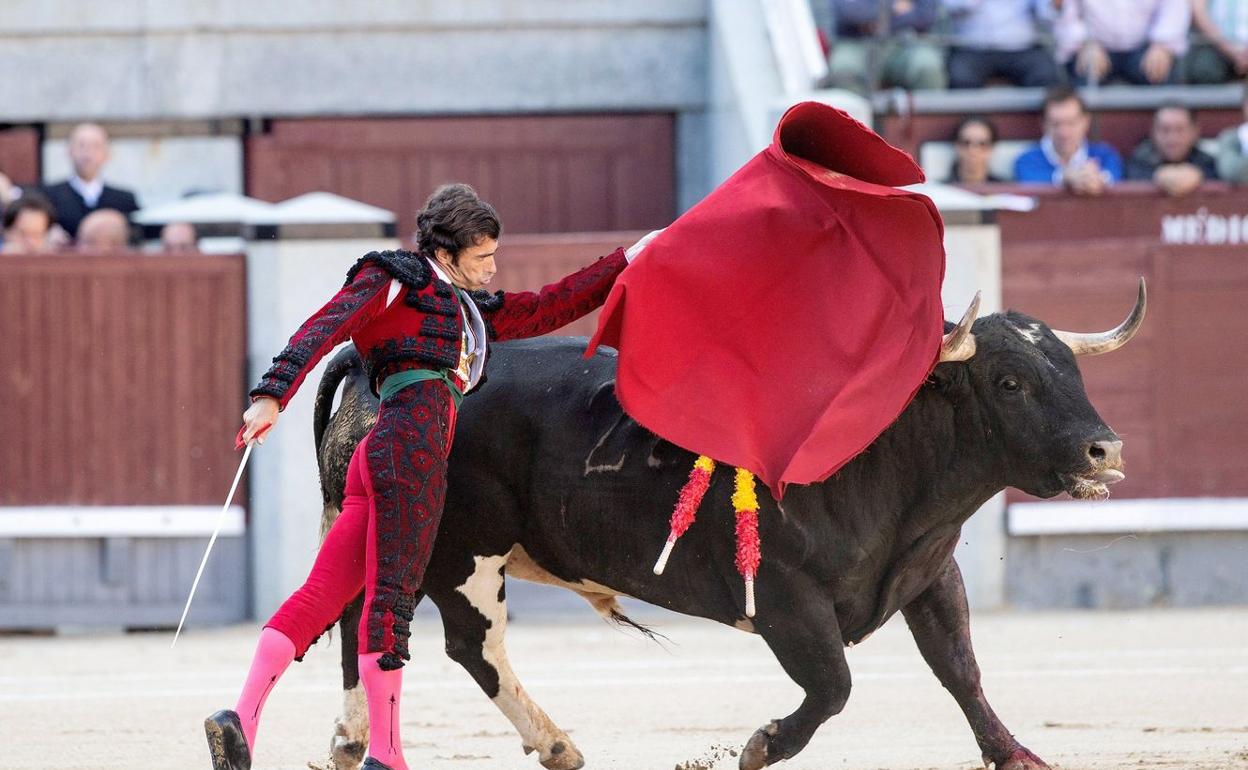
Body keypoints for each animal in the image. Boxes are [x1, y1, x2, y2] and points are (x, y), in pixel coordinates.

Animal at [309, 298, 1143, 768]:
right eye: (1010, 381)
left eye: (1072, 370)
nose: (1105, 450)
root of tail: (379, 367)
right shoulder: (783, 596)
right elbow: (833, 685)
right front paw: (760, 746)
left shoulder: (930, 574)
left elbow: (960, 669)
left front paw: (1017, 756)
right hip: (457, 551)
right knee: (454, 641)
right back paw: (544, 745)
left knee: (369, 622)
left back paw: (365, 742)